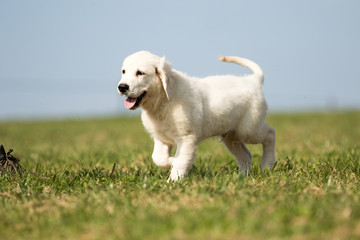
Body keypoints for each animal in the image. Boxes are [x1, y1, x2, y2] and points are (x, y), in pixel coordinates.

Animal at [118, 51, 276, 182]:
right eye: (123, 71)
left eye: (140, 73)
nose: (122, 87)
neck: (164, 100)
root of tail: (253, 81)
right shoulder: (161, 138)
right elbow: (158, 158)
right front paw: (172, 162)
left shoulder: (187, 137)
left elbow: (181, 160)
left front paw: (173, 181)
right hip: (231, 136)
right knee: (245, 155)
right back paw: (242, 177)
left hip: (249, 129)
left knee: (270, 133)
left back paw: (267, 166)